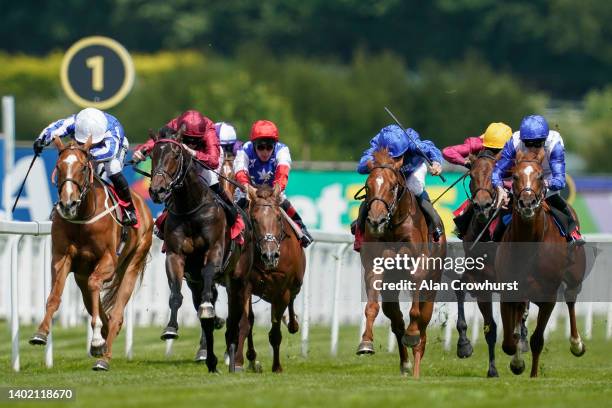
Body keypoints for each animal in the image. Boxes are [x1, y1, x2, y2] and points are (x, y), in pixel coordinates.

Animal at [29, 136, 154, 370]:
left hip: (134, 261)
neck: (83, 217)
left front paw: (96, 339)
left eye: (83, 167)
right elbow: (54, 296)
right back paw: (103, 342)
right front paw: (40, 332)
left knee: (116, 313)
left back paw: (104, 358)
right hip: (80, 276)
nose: (68, 203)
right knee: (97, 305)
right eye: (59, 167)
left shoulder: (108, 260)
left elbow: (96, 284)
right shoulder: (62, 258)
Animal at [148, 126, 253, 372]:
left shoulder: (214, 251)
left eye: (176, 155)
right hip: (199, 280)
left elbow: (208, 283)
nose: (157, 190)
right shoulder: (175, 257)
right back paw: (208, 350)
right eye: (153, 155)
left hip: (239, 278)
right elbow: (176, 295)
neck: (190, 208)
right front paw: (171, 329)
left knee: (236, 313)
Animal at [232, 185, 304, 372]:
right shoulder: (246, 285)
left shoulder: (282, 291)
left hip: (293, 286)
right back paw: (251, 358)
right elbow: (245, 322)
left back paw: (293, 323)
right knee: (251, 319)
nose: (270, 255)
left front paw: (277, 366)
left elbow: (275, 332)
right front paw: (238, 361)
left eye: (278, 217)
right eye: (254, 219)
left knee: (292, 302)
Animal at [356, 148, 448, 378]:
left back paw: (416, 361)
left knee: (423, 321)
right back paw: (406, 364)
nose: (376, 221)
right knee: (396, 319)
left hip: (432, 283)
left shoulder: (419, 265)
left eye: (392, 186)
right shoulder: (373, 268)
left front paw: (412, 334)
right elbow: (371, 306)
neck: (393, 226)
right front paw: (366, 342)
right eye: (368, 186)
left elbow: (415, 313)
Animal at [494, 148, 584, 378]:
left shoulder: (549, 295)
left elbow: (537, 340)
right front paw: (517, 362)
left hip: (575, 276)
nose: (527, 203)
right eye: (515, 176)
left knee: (571, 298)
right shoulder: (509, 290)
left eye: (541, 176)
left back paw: (576, 343)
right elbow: (509, 342)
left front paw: (534, 375)